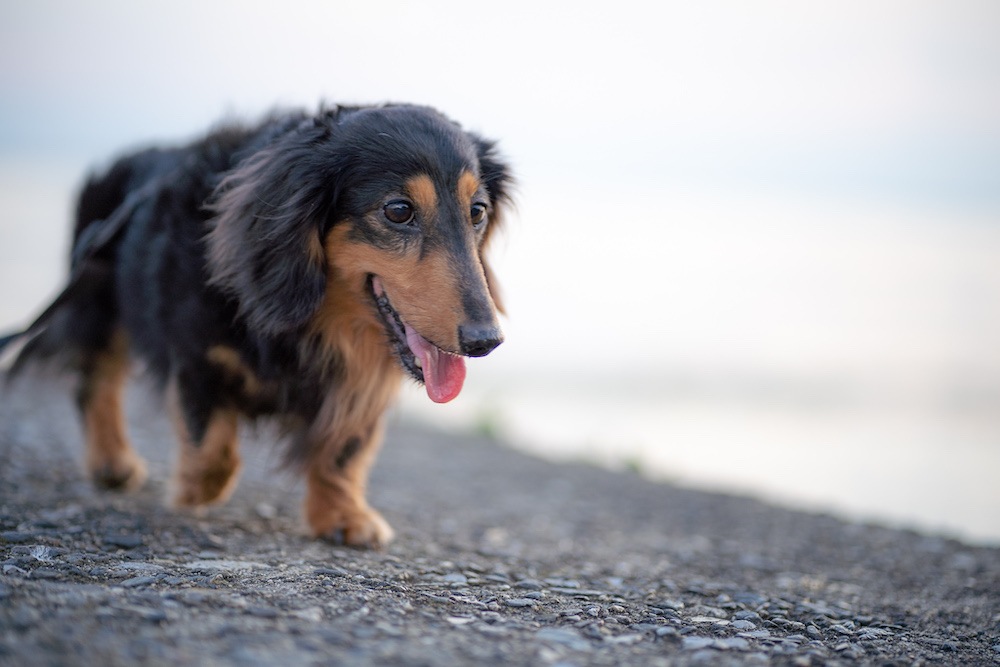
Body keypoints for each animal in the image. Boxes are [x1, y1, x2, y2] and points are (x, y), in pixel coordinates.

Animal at [0, 105, 512, 548]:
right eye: (399, 210)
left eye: (477, 211)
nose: (486, 341)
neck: (315, 321)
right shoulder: (197, 354)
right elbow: (214, 451)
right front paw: (193, 490)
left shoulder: (362, 379)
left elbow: (345, 448)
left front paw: (343, 515)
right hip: (96, 300)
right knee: (96, 383)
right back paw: (112, 461)